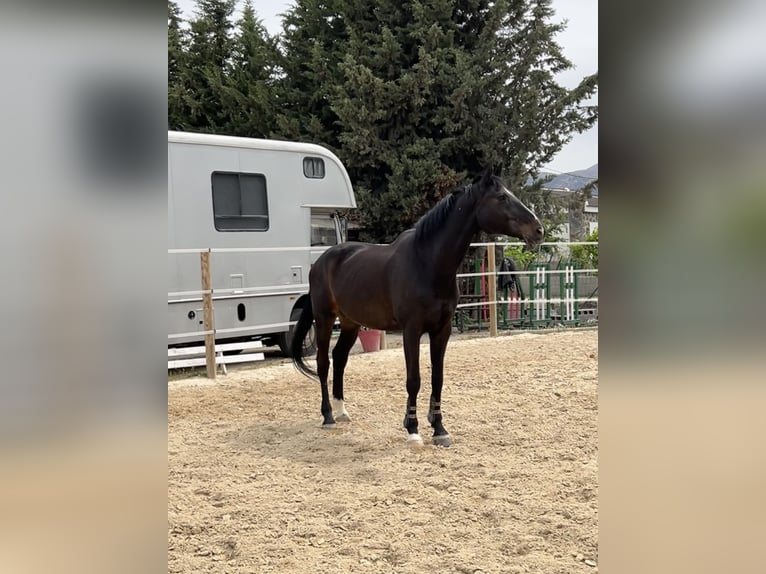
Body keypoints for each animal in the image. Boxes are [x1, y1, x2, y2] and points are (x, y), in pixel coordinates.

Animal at [290, 170, 543, 446]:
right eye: (501, 197)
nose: (538, 229)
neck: (428, 263)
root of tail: (320, 262)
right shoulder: (411, 331)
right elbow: (414, 379)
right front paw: (412, 429)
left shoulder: (442, 330)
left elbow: (437, 378)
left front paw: (439, 428)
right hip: (325, 319)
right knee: (323, 362)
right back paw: (327, 416)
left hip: (350, 322)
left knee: (339, 358)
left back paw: (341, 410)